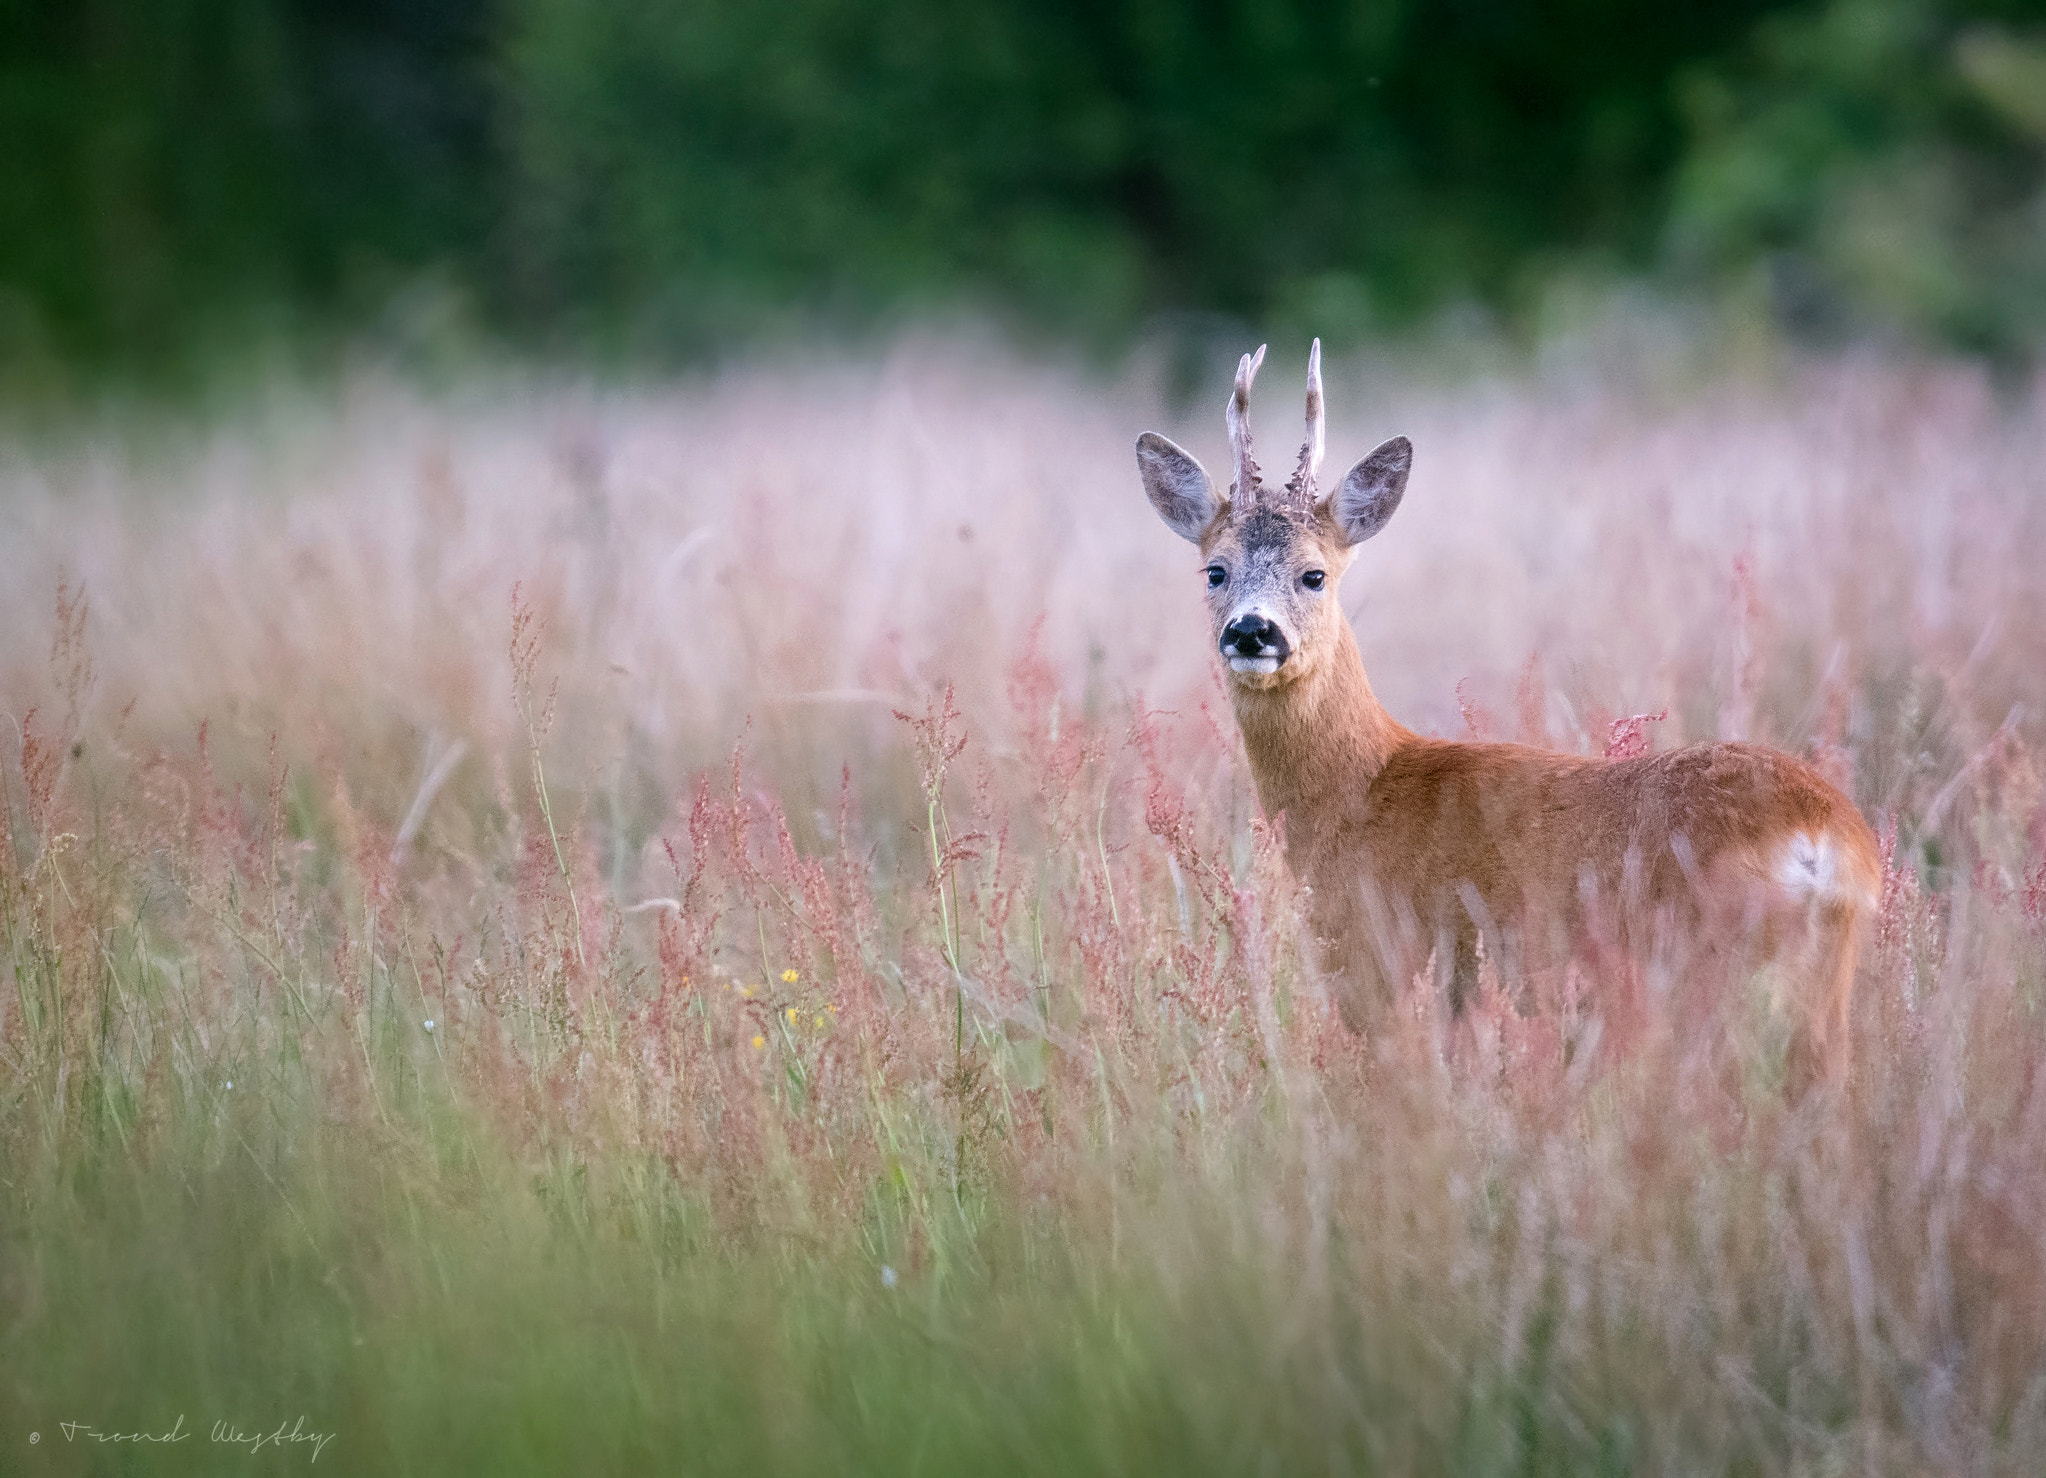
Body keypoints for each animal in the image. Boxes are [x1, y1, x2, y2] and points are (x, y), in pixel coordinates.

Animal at [1135, 342, 1881, 1093]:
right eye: (1215, 571)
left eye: (1314, 574)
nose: (1252, 632)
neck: (1363, 791)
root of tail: (1827, 837)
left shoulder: (1398, 970)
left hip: (1706, 969)